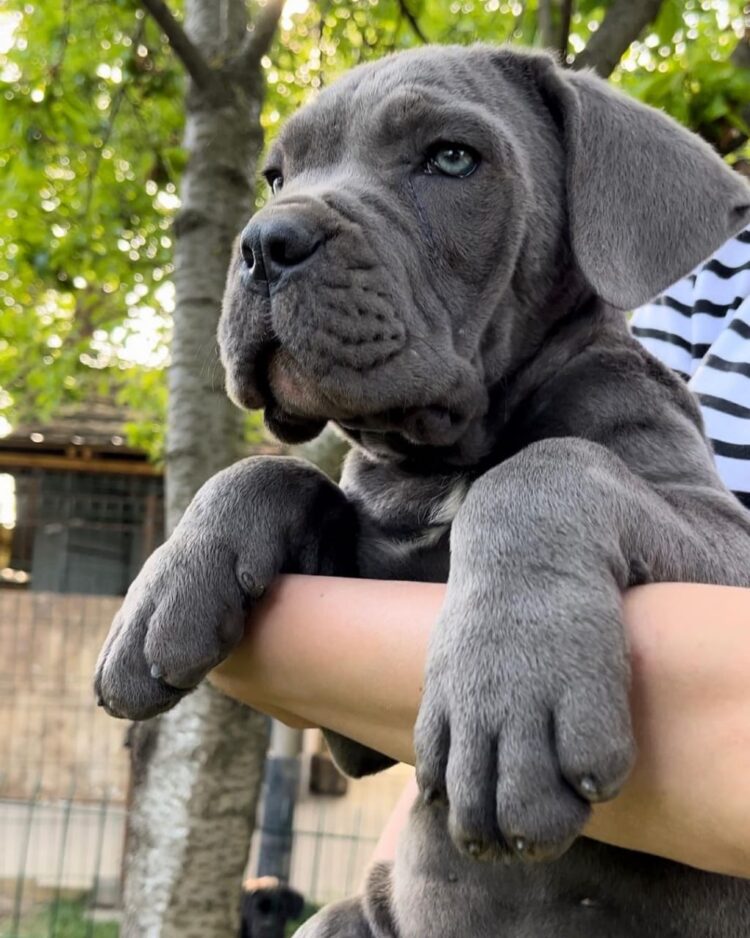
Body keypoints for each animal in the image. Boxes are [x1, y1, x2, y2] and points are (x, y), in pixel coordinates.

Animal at [97, 45, 750, 936]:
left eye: (450, 158)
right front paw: (166, 585)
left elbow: (545, 469)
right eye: (275, 177)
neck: (441, 454)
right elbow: (279, 471)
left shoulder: (725, 542)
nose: (264, 241)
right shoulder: (356, 718)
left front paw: (510, 692)